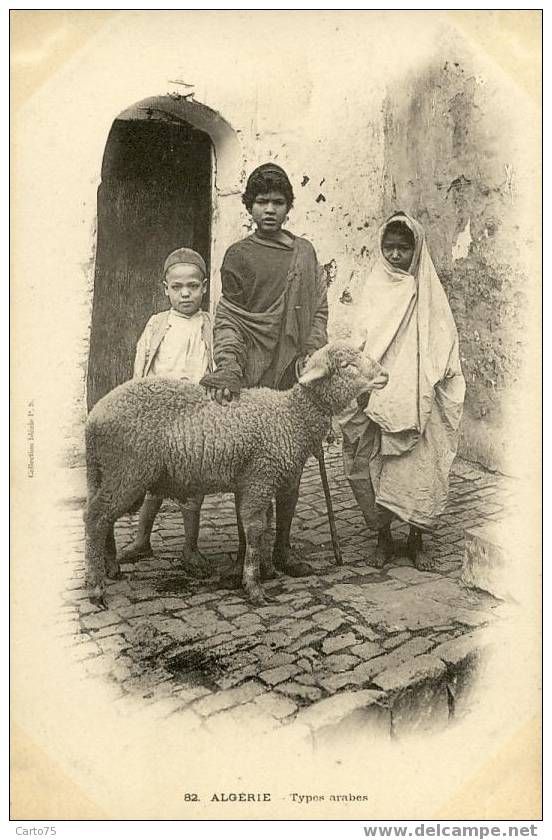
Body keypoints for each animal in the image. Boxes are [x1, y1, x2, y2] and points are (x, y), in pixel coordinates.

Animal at [85, 342, 388, 604]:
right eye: (347, 365)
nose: (384, 374)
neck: (292, 414)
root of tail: (94, 417)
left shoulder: (257, 480)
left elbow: (265, 524)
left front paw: (266, 570)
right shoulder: (260, 477)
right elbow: (254, 529)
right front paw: (253, 585)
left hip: (104, 473)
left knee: (104, 518)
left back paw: (110, 568)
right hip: (127, 471)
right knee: (96, 518)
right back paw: (96, 587)